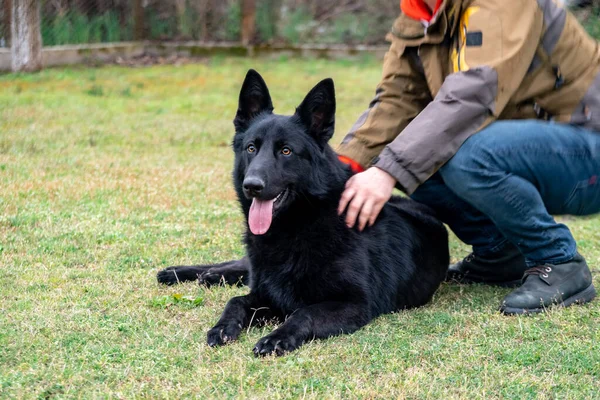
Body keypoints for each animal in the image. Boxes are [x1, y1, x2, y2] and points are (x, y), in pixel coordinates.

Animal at [157, 69, 448, 356]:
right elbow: (235, 300)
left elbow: (303, 313)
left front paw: (276, 338)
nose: (251, 186)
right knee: (241, 265)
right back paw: (184, 272)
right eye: (251, 148)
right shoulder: (266, 292)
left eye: (286, 151)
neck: (300, 224)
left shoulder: (352, 304)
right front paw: (222, 327)